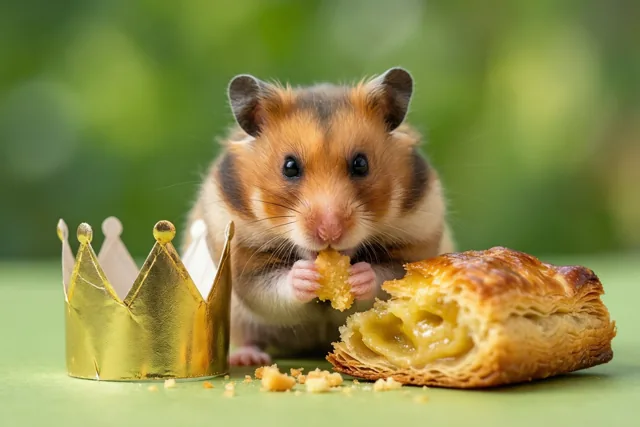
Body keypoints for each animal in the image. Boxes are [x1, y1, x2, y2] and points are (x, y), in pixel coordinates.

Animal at [183, 67, 455, 366]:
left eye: (361, 164)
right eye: (289, 166)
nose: (330, 232)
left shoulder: (416, 238)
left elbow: (386, 279)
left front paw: (358, 276)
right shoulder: (244, 260)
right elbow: (269, 289)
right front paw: (305, 276)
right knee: (249, 337)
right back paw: (247, 358)